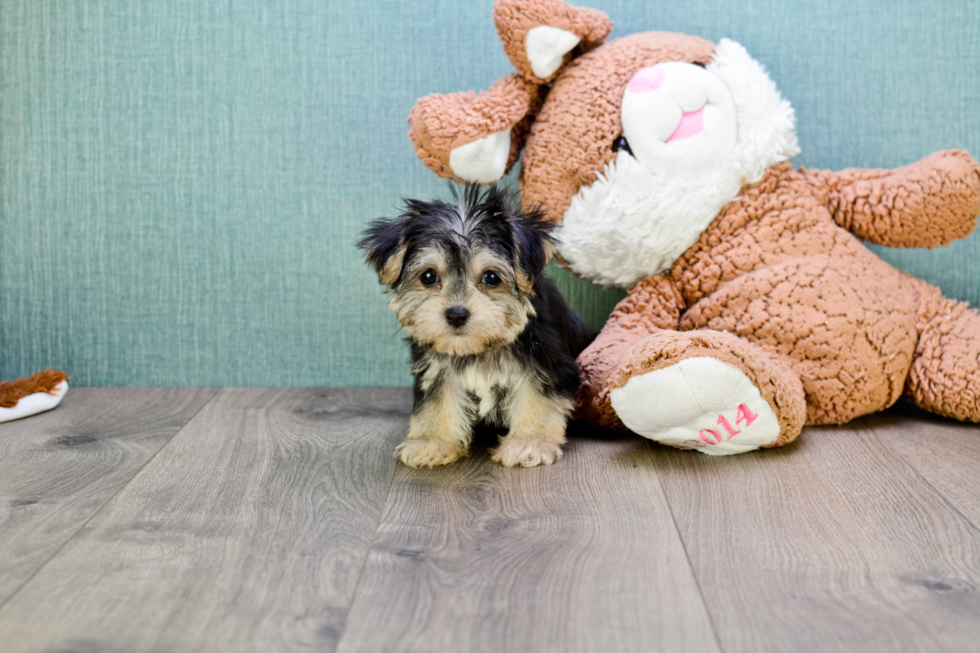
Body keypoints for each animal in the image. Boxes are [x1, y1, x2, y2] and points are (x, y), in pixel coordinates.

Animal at [358, 186, 588, 466]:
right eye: (428, 276)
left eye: (491, 277)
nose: (456, 314)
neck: (477, 349)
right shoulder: (437, 369)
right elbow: (438, 400)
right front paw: (432, 442)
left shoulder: (545, 362)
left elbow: (537, 397)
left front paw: (529, 442)